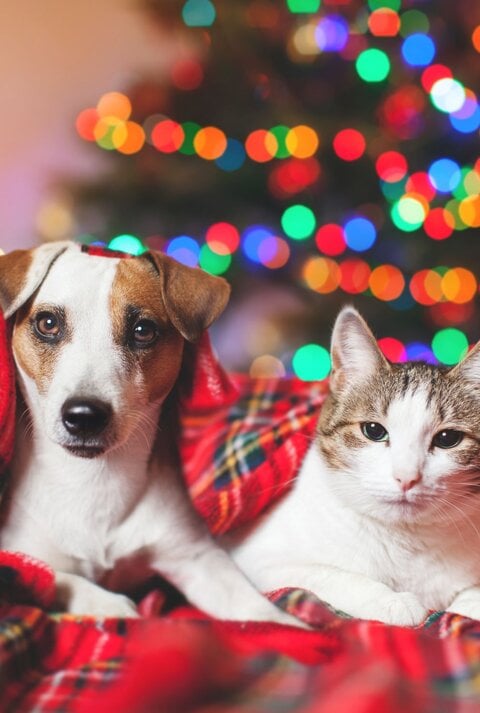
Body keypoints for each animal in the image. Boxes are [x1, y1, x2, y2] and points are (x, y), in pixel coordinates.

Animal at [0, 243, 296, 624]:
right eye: (47, 323)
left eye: (143, 330)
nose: (84, 416)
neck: (93, 482)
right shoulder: (18, 552)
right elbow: (53, 576)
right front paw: (107, 603)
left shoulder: (197, 558)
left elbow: (255, 607)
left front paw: (292, 624)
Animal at [224, 304, 480, 624]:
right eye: (373, 430)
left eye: (448, 438)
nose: (406, 477)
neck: (406, 543)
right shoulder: (256, 561)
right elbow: (328, 575)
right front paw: (391, 600)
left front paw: (469, 601)